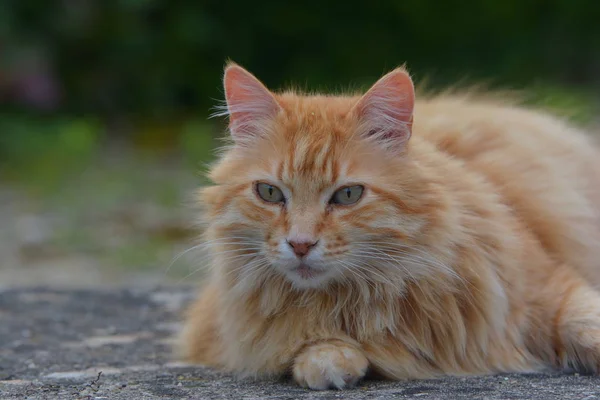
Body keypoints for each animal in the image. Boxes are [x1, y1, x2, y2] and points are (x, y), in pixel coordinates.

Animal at [180, 63, 600, 390]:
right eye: (269, 193)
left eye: (348, 195)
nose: (300, 244)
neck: (370, 292)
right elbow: (304, 338)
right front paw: (328, 358)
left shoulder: (545, 283)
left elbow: (583, 319)